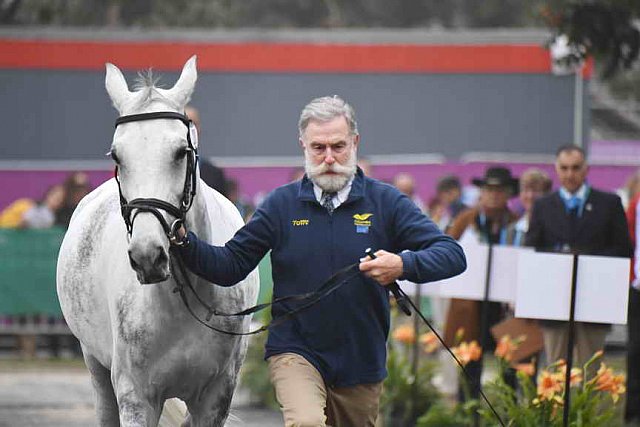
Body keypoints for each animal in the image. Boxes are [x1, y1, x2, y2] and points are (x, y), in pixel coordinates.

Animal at [56, 55, 258, 426]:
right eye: (117, 156)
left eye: (180, 151)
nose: (147, 256)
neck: (183, 301)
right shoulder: (136, 397)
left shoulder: (215, 398)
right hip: (95, 363)